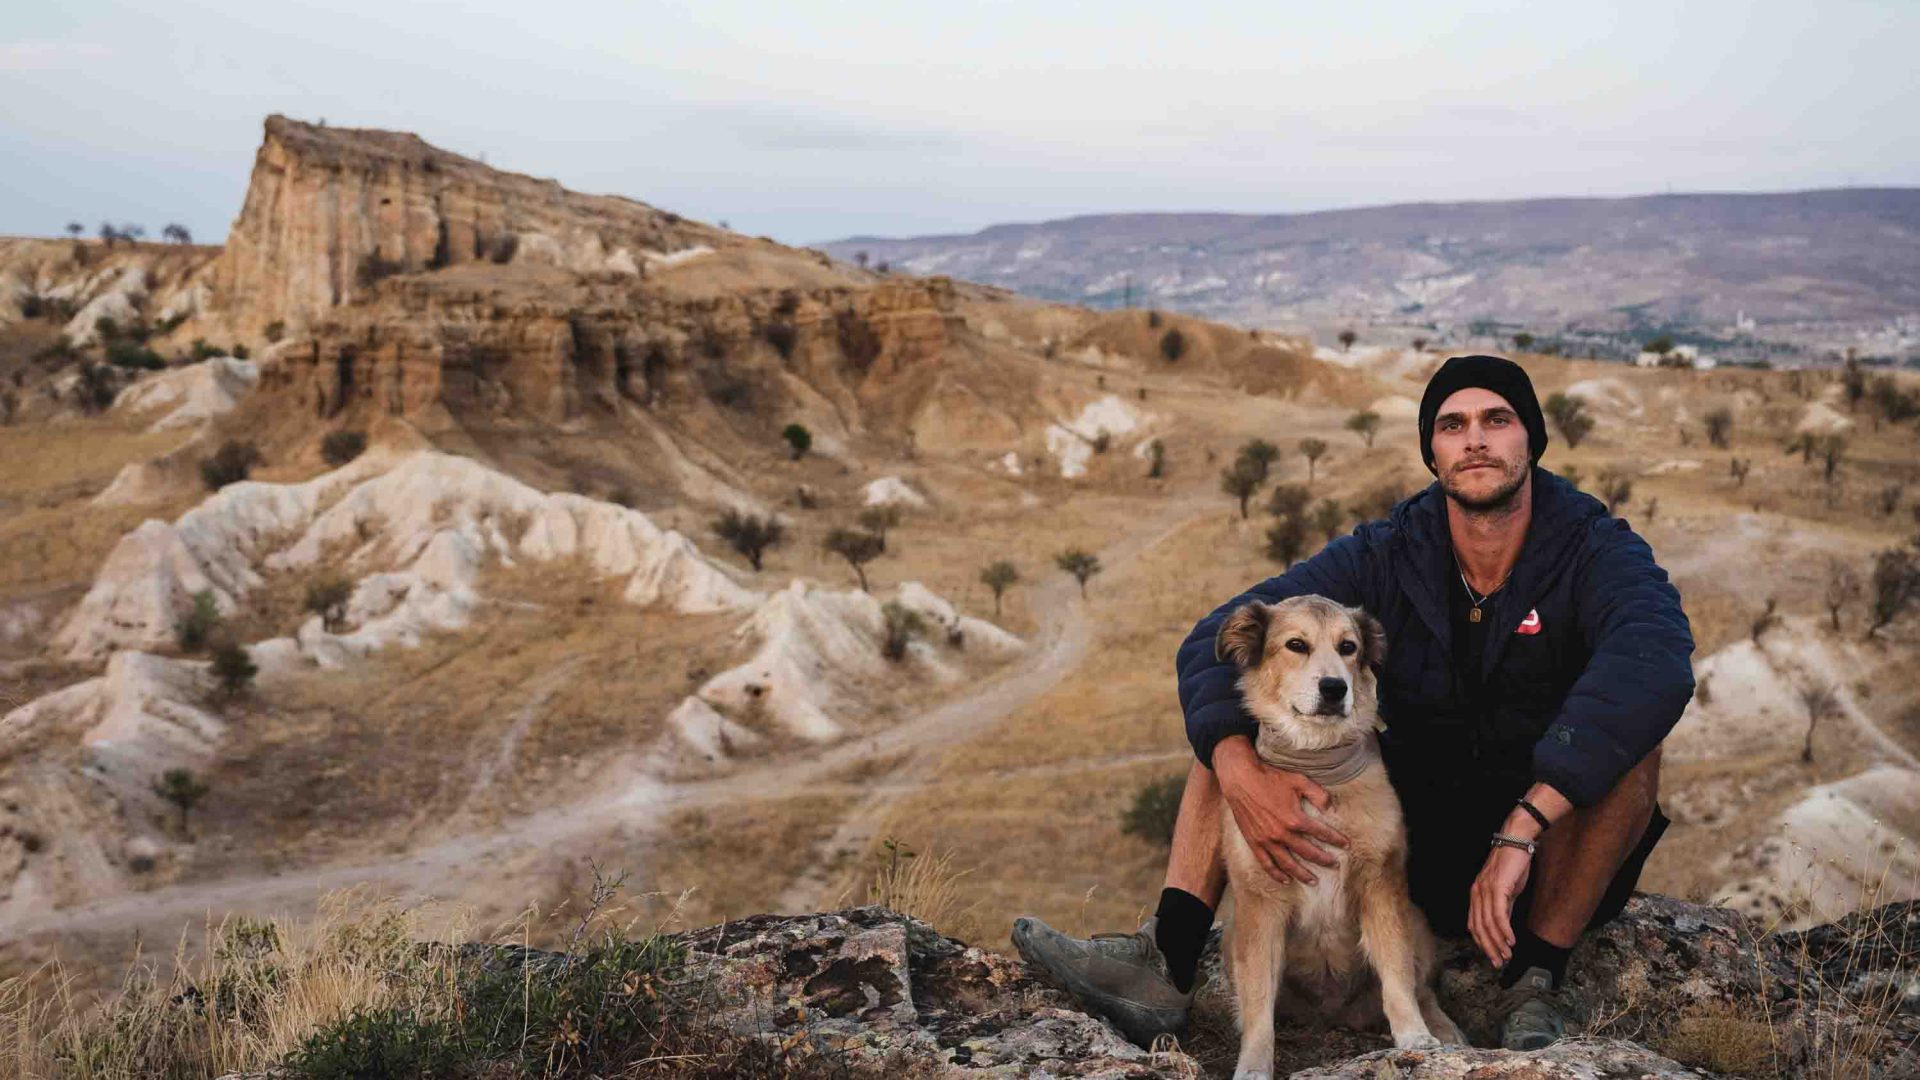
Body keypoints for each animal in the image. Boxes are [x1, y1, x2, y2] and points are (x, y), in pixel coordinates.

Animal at [1205, 591, 1459, 1068]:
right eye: (1296, 645)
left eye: (1348, 647)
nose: (1334, 688)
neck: (1317, 769)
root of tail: (1333, 1015)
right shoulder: (1260, 903)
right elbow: (1258, 1003)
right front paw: (1254, 1064)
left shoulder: (1381, 884)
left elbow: (1397, 973)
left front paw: (1414, 1036)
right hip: (1233, 937)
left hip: (1415, 919)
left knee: (1423, 987)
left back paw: (1442, 1028)